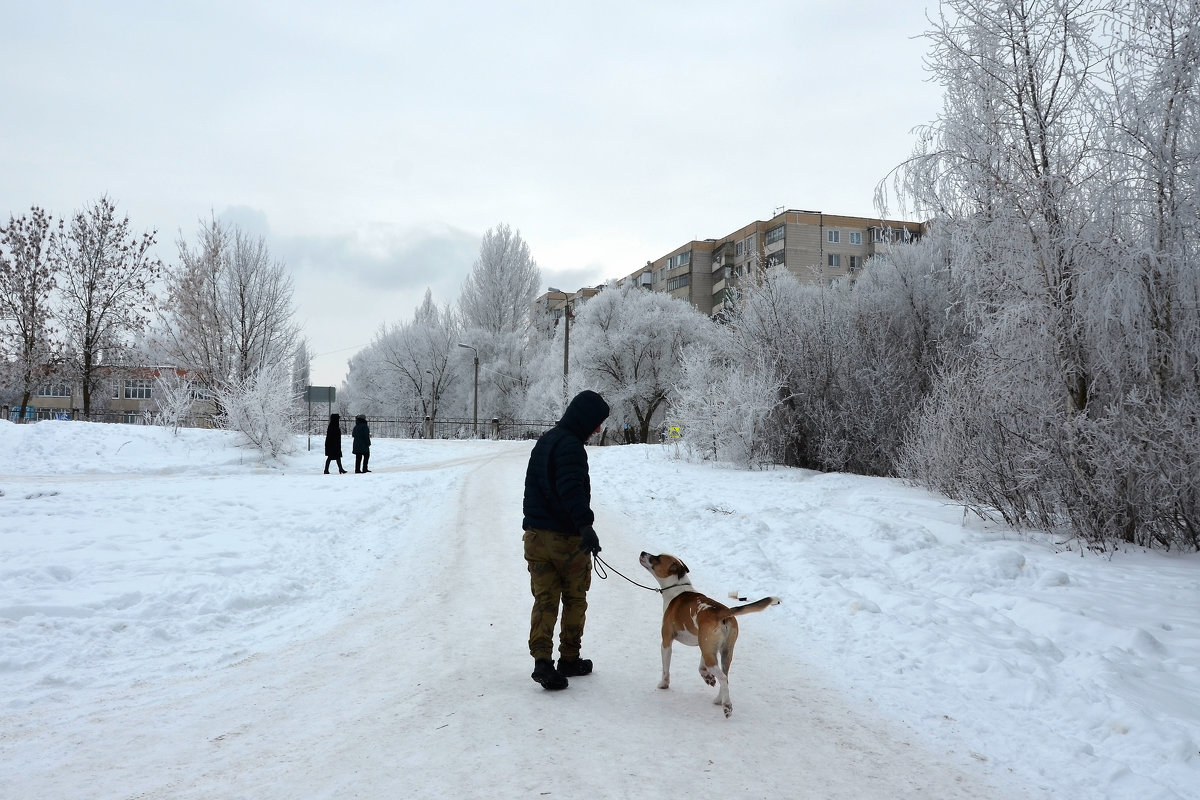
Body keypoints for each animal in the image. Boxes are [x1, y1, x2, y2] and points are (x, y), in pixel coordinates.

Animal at [638, 551, 777, 719]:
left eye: (657, 558)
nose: (643, 552)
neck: (677, 589)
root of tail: (723, 612)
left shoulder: (666, 642)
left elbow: (666, 668)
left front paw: (663, 684)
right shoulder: (705, 646)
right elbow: (701, 668)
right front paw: (708, 678)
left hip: (710, 652)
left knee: (723, 677)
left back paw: (727, 705)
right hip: (723, 652)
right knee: (726, 677)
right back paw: (719, 699)